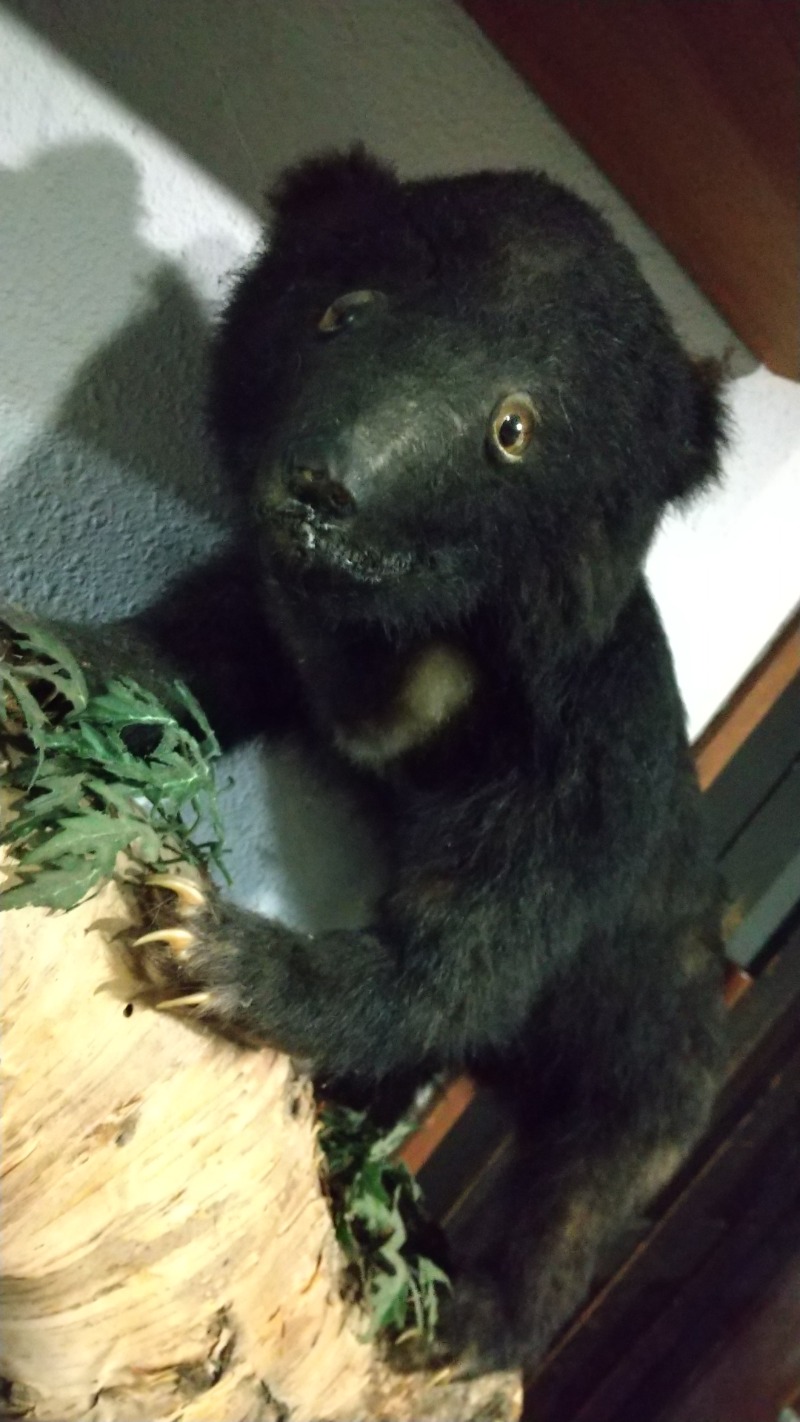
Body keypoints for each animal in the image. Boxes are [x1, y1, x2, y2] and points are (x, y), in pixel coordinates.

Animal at [32, 150, 733, 1370]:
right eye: (341, 314)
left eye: (512, 429)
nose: (324, 488)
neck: (416, 638)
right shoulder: (283, 620)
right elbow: (180, 661)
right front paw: (41, 657)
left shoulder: (579, 766)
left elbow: (464, 952)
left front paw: (207, 943)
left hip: (655, 1031)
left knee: (591, 1171)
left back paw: (472, 1318)